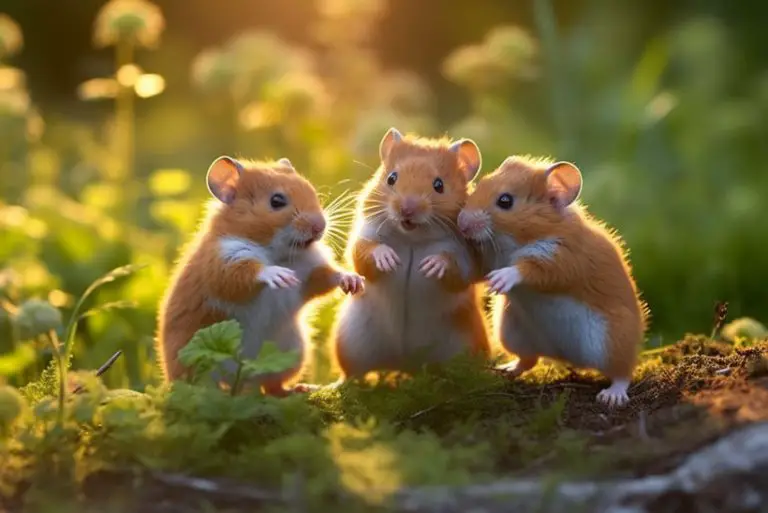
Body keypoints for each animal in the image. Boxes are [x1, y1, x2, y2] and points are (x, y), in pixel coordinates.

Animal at [156, 156, 364, 395]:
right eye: (277, 201)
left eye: (310, 189)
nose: (320, 226)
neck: (278, 252)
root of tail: (245, 376)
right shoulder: (221, 263)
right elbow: (245, 273)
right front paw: (278, 275)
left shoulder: (310, 272)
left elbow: (326, 278)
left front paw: (352, 279)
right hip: (195, 364)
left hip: (290, 354)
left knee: (272, 386)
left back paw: (299, 389)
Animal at [330, 127, 491, 380]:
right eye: (391, 178)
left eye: (439, 185)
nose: (406, 209)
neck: (412, 238)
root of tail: (405, 365)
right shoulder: (364, 235)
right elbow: (363, 253)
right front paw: (386, 258)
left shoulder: (468, 254)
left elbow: (458, 269)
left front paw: (434, 264)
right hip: (350, 342)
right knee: (353, 374)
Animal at [457, 156, 648, 407]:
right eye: (481, 183)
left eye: (505, 201)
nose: (461, 223)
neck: (514, 241)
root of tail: (562, 355)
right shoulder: (487, 258)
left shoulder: (562, 258)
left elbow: (529, 269)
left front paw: (500, 279)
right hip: (512, 333)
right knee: (529, 359)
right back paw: (507, 369)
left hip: (612, 342)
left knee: (623, 372)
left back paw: (612, 395)